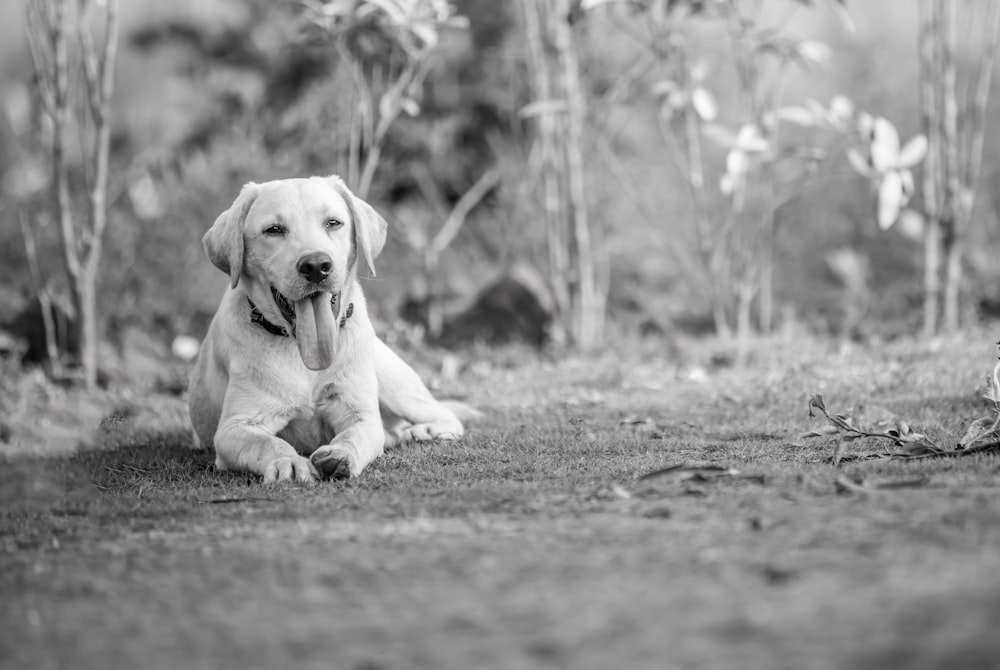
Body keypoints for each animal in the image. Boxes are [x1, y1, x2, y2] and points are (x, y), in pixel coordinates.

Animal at [188, 176, 468, 484]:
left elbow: (355, 435)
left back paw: (425, 431)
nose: (316, 266)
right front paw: (289, 462)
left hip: (393, 382)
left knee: (444, 414)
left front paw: (340, 455)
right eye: (273, 230)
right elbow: (267, 443)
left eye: (333, 223)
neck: (299, 352)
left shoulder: (361, 414)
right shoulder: (233, 428)